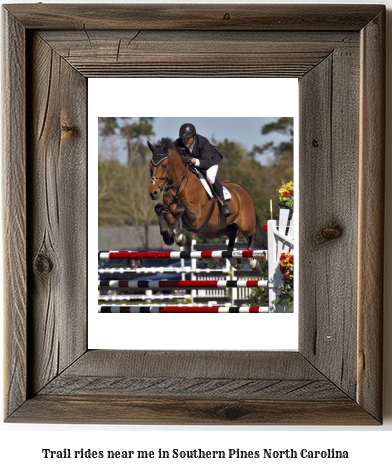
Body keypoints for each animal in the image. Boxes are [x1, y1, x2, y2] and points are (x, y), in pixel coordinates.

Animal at [147, 139, 266, 268]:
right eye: (150, 166)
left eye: (164, 165)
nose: (153, 193)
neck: (179, 186)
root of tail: (243, 191)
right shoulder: (170, 213)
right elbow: (159, 209)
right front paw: (167, 236)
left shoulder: (195, 215)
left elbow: (180, 209)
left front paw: (179, 237)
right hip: (216, 229)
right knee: (232, 233)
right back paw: (234, 259)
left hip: (245, 225)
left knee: (252, 234)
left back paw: (252, 260)